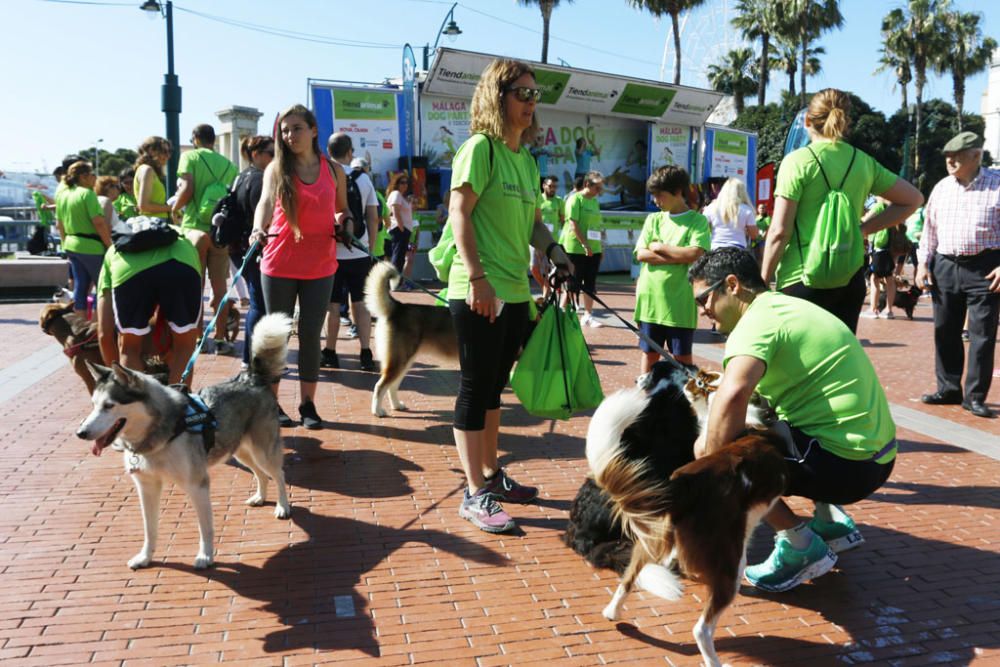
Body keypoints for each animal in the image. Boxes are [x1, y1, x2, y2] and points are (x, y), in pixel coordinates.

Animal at [75, 314, 292, 568]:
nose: (80, 433)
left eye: (109, 406)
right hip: (240, 451)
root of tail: (252, 378)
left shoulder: (198, 485)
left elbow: (205, 528)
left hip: (262, 451)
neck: (159, 434)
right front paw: (145, 557)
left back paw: (283, 507)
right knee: (261, 474)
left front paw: (205, 556)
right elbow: (150, 529)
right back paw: (260, 497)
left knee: (278, 474)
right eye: (93, 405)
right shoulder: (146, 487)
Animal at [366, 260, 458, 418]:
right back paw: (377, 411)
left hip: (405, 362)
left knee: (392, 386)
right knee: (380, 386)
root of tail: (398, 307)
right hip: (399, 361)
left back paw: (397, 405)